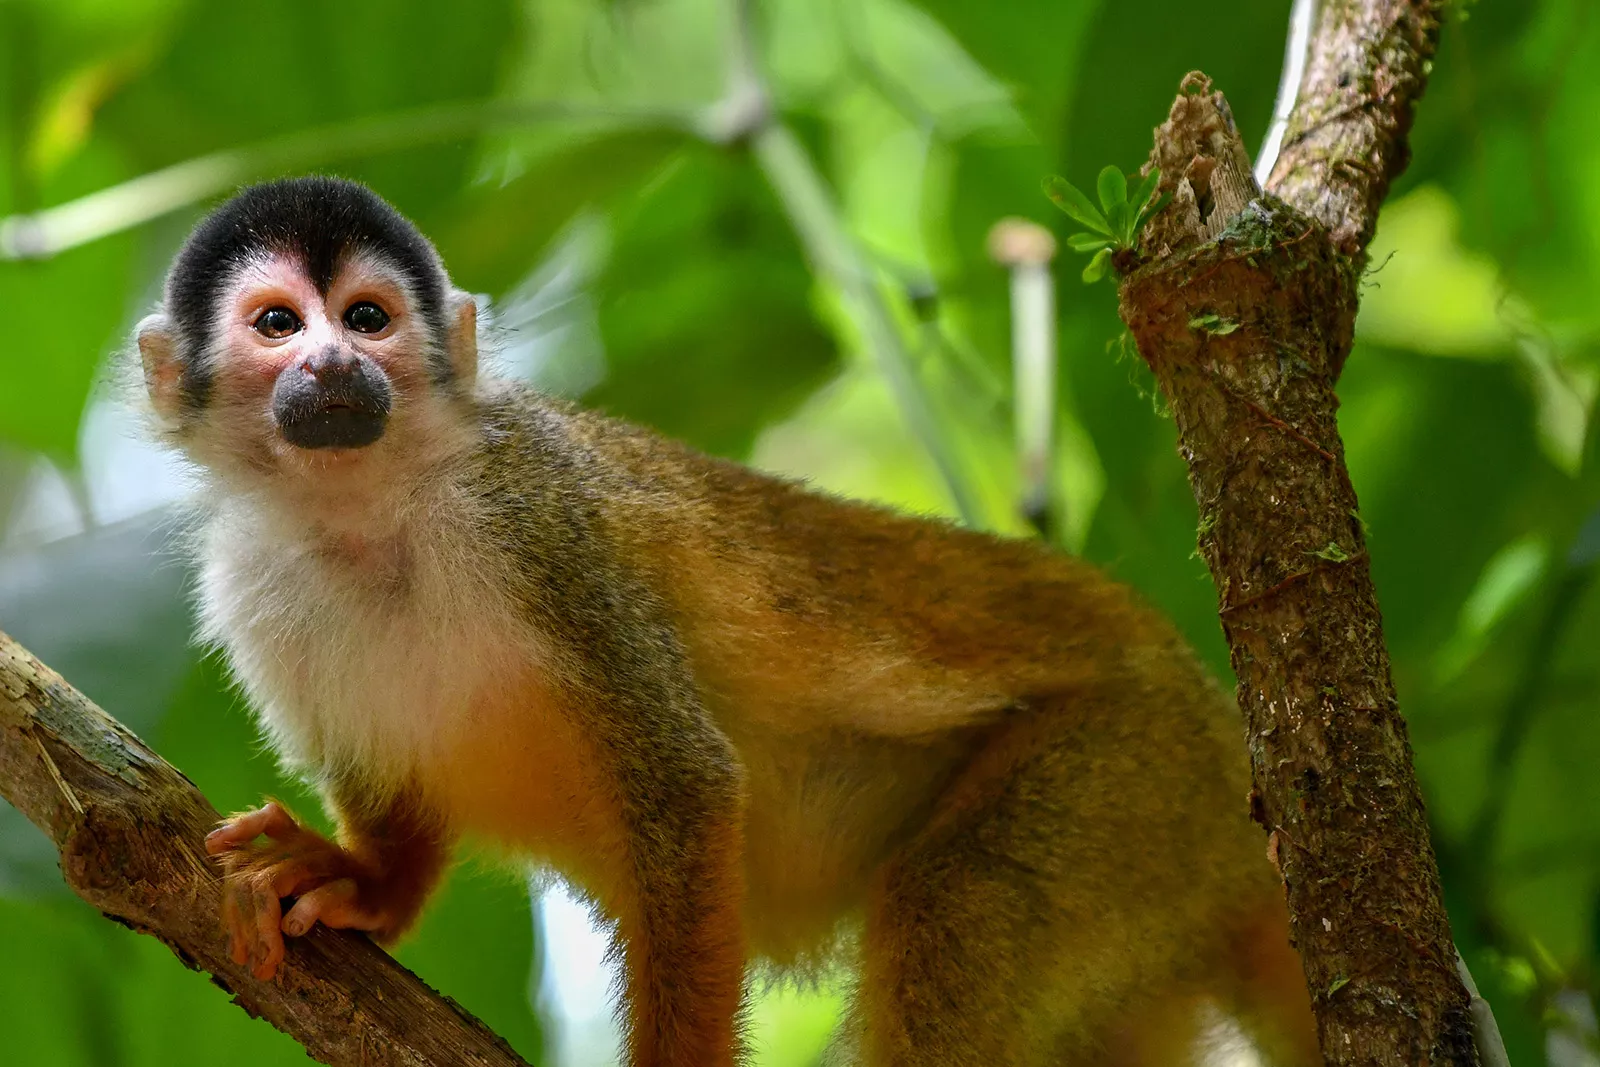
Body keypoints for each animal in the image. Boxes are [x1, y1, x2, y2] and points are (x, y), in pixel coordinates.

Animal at [134, 177, 1312, 1067]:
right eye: (279, 324)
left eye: (368, 318)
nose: (334, 365)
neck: (371, 513)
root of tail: (1225, 750)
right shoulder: (249, 584)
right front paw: (365, 882)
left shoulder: (539, 525)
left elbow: (684, 782)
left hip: (1126, 768)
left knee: (956, 899)